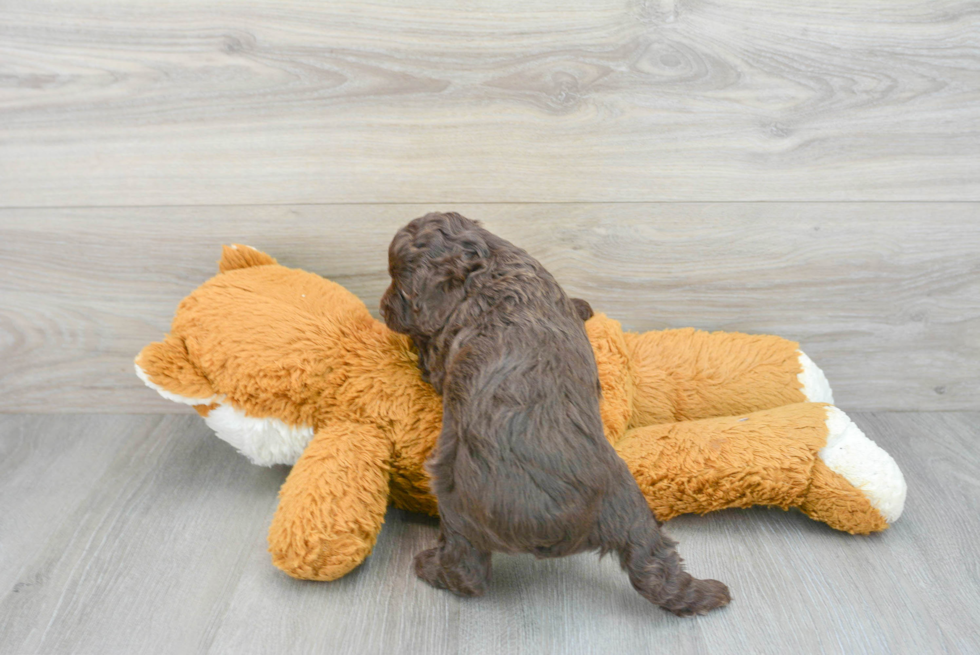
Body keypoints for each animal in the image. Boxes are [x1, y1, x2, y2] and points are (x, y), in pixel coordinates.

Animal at [378, 213, 732, 616]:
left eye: (399, 281)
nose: (382, 307)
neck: (487, 266)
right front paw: (583, 306)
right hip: (637, 513)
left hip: (455, 499)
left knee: (467, 570)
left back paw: (430, 568)